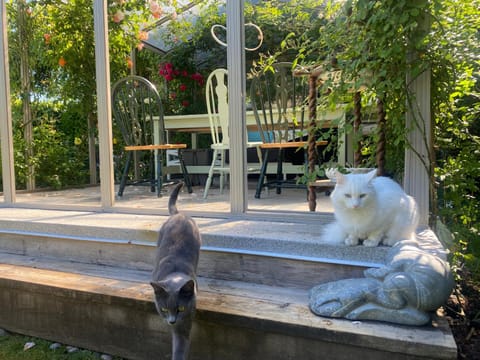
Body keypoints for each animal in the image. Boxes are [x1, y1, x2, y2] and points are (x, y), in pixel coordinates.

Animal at [151, 183, 202, 360]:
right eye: (164, 309)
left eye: (181, 309)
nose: (172, 321)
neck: (174, 275)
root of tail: (179, 214)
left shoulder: (187, 317)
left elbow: (181, 344)